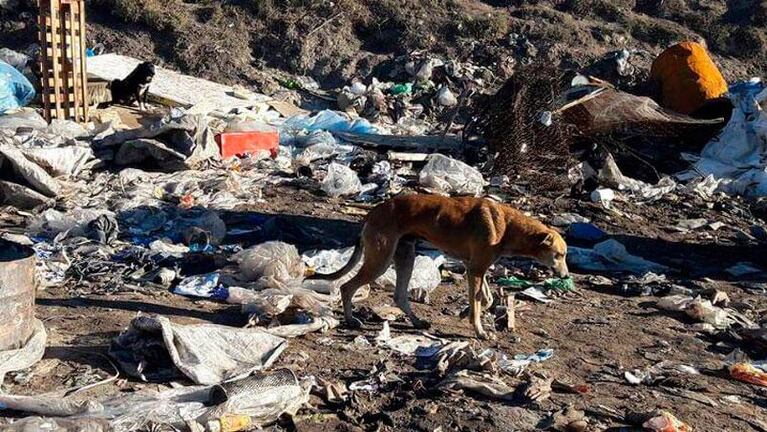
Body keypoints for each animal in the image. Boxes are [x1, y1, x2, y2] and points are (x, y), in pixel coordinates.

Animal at [312, 194, 568, 340]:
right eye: (559, 255)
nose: (566, 276)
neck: (507, 225)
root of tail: (373, 212)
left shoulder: (475, 267)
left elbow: (485, 299)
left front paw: (469, 311)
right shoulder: (476, 269)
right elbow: (479, 303)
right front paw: (479, 329)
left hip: (405, 256)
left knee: (399, 296)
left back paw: (416, 321)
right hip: (380, 261)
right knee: (346, 287)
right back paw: (351, 320)